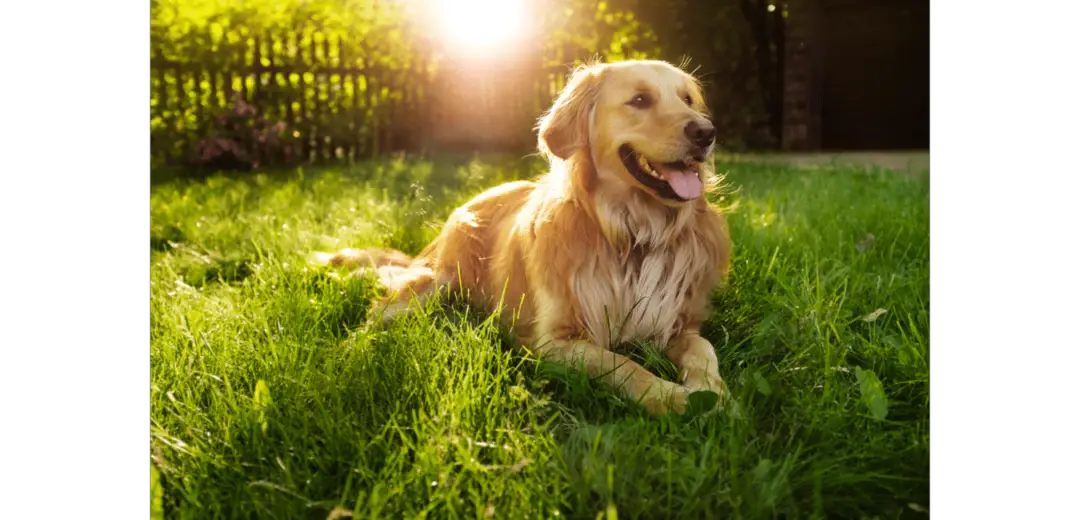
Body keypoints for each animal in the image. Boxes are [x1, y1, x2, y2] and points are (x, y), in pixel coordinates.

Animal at [315, 60, 730, 415]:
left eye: (688, 99)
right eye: (640, 100)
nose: (706, 133)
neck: (632, 234)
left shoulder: (676, 321)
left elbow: (703, 348)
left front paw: (712, 390)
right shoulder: (554, 340)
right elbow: (622, 363)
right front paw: (671, 397)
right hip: (435, 282)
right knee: (373, 317)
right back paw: (349, 354)